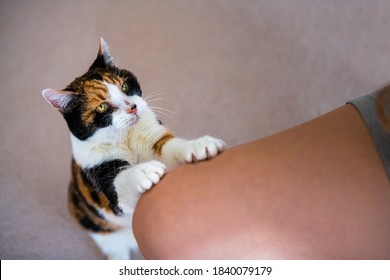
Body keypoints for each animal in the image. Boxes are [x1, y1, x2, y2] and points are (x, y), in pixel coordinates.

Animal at [40, 38, 224, 260]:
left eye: (125, 86)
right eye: (102, 107)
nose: (132, 107)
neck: (125, 138)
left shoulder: (155, 138)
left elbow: (174, 147)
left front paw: (200, 145)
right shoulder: (102, 176)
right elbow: (121, 183)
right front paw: (144, 172)